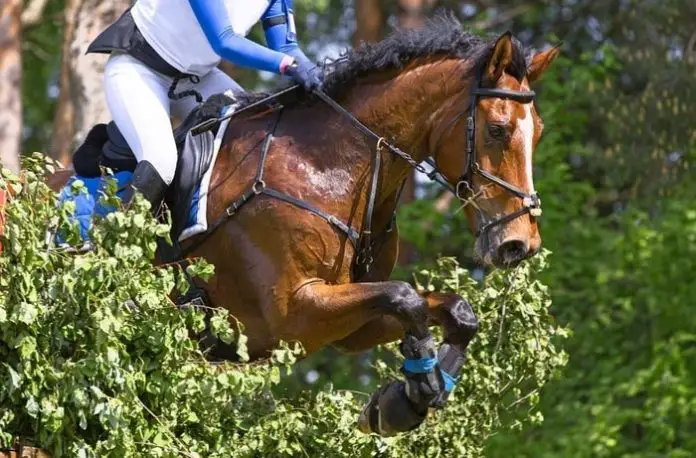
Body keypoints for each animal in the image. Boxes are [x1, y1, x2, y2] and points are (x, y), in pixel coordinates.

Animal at [50, 17, 559, 436]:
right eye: (497, 129)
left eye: (538, 131)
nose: (520, 244)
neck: (330, 165)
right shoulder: (293, 316)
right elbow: (406, 297)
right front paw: (414, 393)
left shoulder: (350, 327)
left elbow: (456, 312)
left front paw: (408, 398)